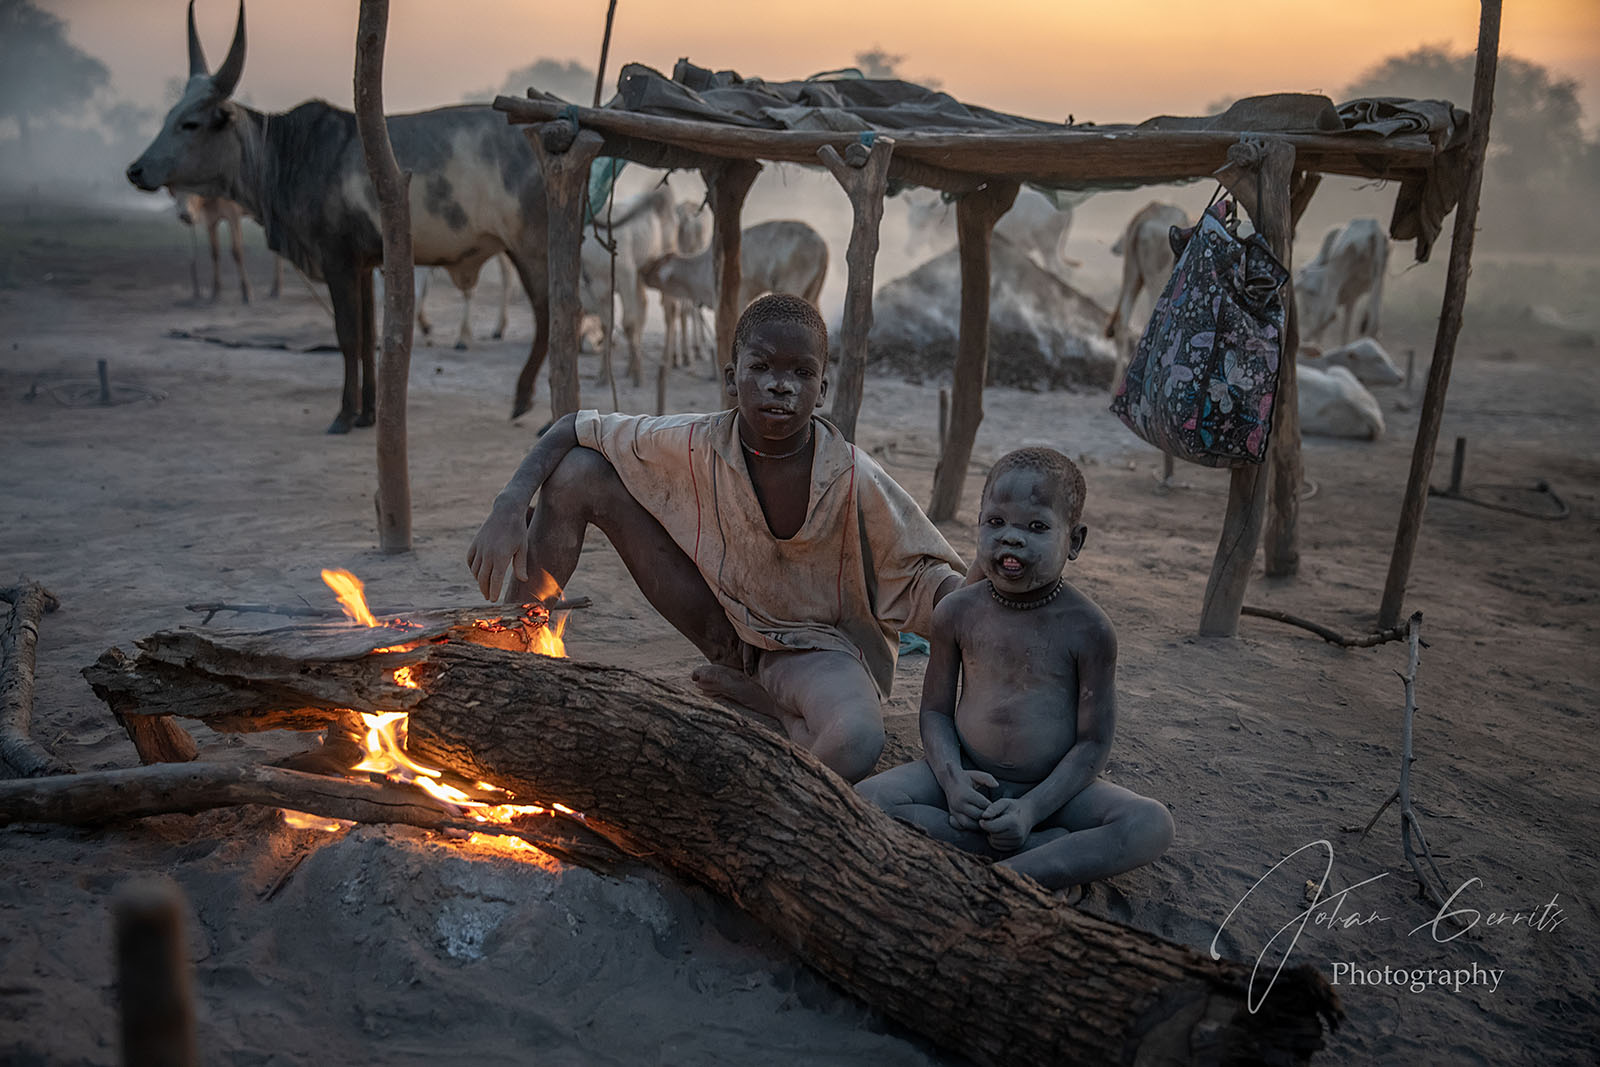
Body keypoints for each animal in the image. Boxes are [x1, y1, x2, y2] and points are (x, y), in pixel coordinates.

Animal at [126, 2, 551, 433]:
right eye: (168, 117)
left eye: (190, 123)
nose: (136, 170)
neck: (290, 153)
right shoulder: (363, 264)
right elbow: (367, 337)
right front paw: (369, 413)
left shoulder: (337, 260)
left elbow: (347, 336)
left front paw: (345, 414)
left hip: (530, 246)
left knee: (550, 312)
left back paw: (527, 398)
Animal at [638, 220, 828, 350]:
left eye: (655, 264)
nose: (641, 270)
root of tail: (821, 243)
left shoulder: (739, 298)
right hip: (814, 292)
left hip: (790, 286)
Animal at [1297, 218, 1388, 347]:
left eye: (1310, 292)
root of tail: (1372, 227)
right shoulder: (1352, 297)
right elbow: (1345, 330)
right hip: (1379, 276)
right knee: (1373, 323)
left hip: (1336, 272)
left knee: (1331, 314)